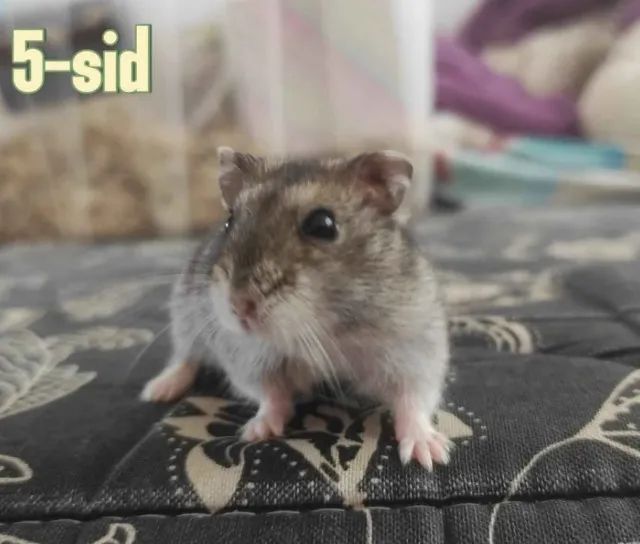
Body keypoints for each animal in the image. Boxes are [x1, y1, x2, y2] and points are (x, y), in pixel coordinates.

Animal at [142, 147, 451, 469]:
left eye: (323, 225)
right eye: (229, 221)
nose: (239, 307)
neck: (325, 328)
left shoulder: (414, 350)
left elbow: (413, 399)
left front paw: (429, 454)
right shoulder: (247, 356)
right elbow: (270, 394)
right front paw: (256, 432)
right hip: (185, 317)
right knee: (185, 356)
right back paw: (158, 390)